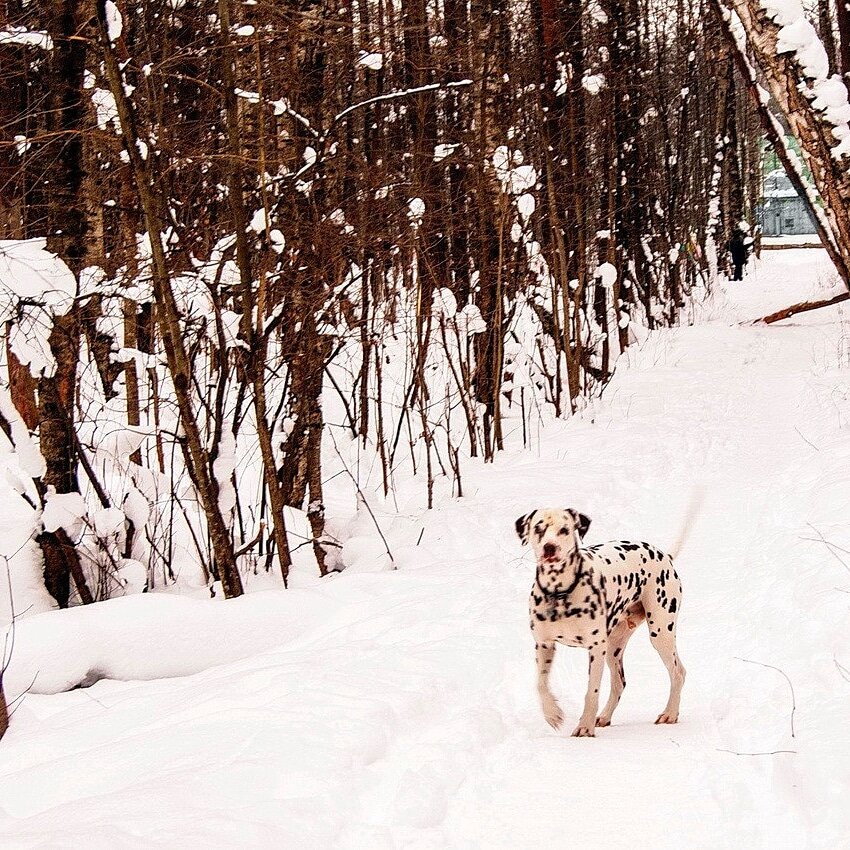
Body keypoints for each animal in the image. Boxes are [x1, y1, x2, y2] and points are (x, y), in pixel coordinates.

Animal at [512, 506, 684, 740]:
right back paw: (604, 716)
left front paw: (585, 726)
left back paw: (670, 713)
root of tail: (664, 555)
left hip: (660, 634)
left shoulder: (595, 649)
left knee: (678, 673)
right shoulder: (544, 645)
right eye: (539, 528)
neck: (559, 594)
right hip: (613, 647)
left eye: (564, 529)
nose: (549, 547)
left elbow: (591, 692)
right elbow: (541, 684)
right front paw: (553, 714)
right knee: (619, 683)